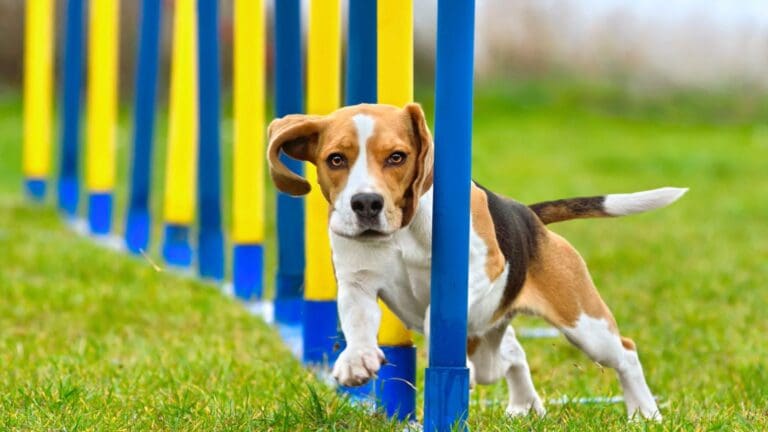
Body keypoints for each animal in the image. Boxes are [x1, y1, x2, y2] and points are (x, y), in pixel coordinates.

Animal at [268, 103, 684, 420]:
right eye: (335, 159)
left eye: (397, 157)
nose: (366, 203)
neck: (401, 230)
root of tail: (529, 215)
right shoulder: (357, 283)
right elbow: (356, 322)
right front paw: (357, 359)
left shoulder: (481, 269)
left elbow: (437, 317)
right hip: (497, 342)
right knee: (512, 353)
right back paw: (524, 406)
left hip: (585, 324)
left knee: (625, 353)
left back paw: (645, 413)